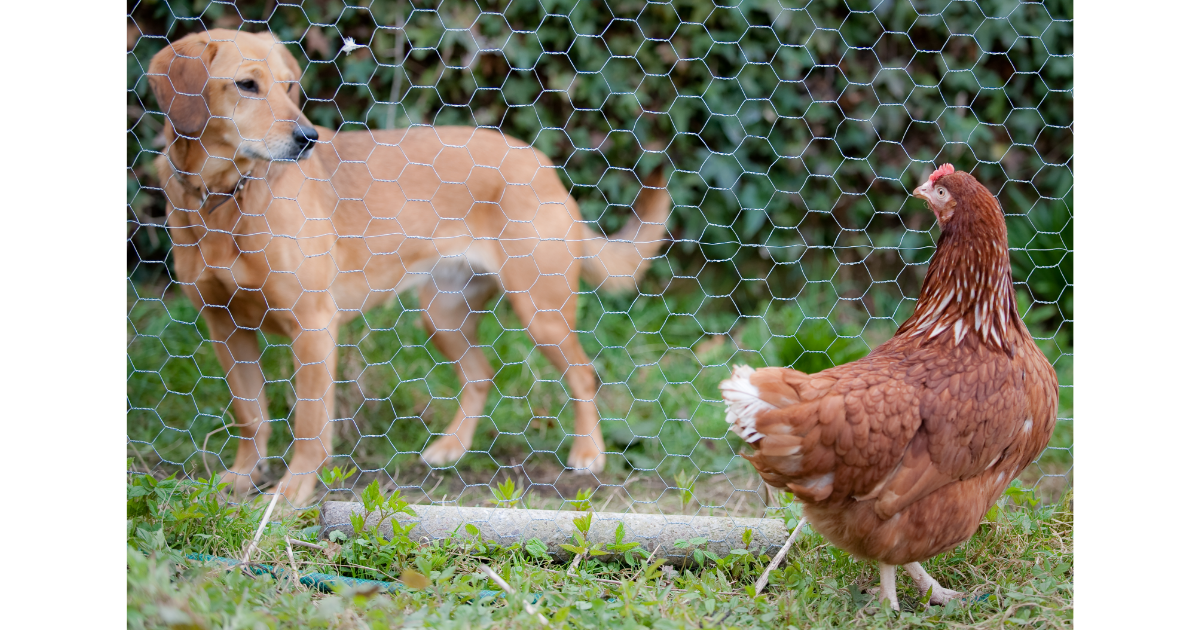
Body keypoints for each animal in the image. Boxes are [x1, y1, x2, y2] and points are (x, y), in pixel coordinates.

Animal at [146, 29, 672, 504]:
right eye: (246, 85)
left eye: (289, 85)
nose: (308, 139)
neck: (222, 198)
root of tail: (541, 162)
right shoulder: (226, 328)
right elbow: (250, 415)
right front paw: (240, 479)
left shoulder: (313, 327)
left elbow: (310, 427)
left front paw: (292, 494)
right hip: (442, 315)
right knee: (481, 375)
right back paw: (452, 448)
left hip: (541, 313)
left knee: (584, 375)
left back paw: (588, 453)